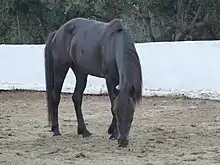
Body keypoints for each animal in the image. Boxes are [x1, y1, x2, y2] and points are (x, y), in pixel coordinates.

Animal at [44, 17, 143, 147]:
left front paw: (111, 131)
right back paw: (56, 130)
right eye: (117, 113)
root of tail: (57, 33)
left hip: (81, 72)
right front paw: (113, 134)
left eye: (131, 114)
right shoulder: (109, 80)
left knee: (76, 98)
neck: (114, 43)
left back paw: (84, 131)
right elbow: (112, 104)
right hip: (60, 69)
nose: (122, 141)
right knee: (56, 97)